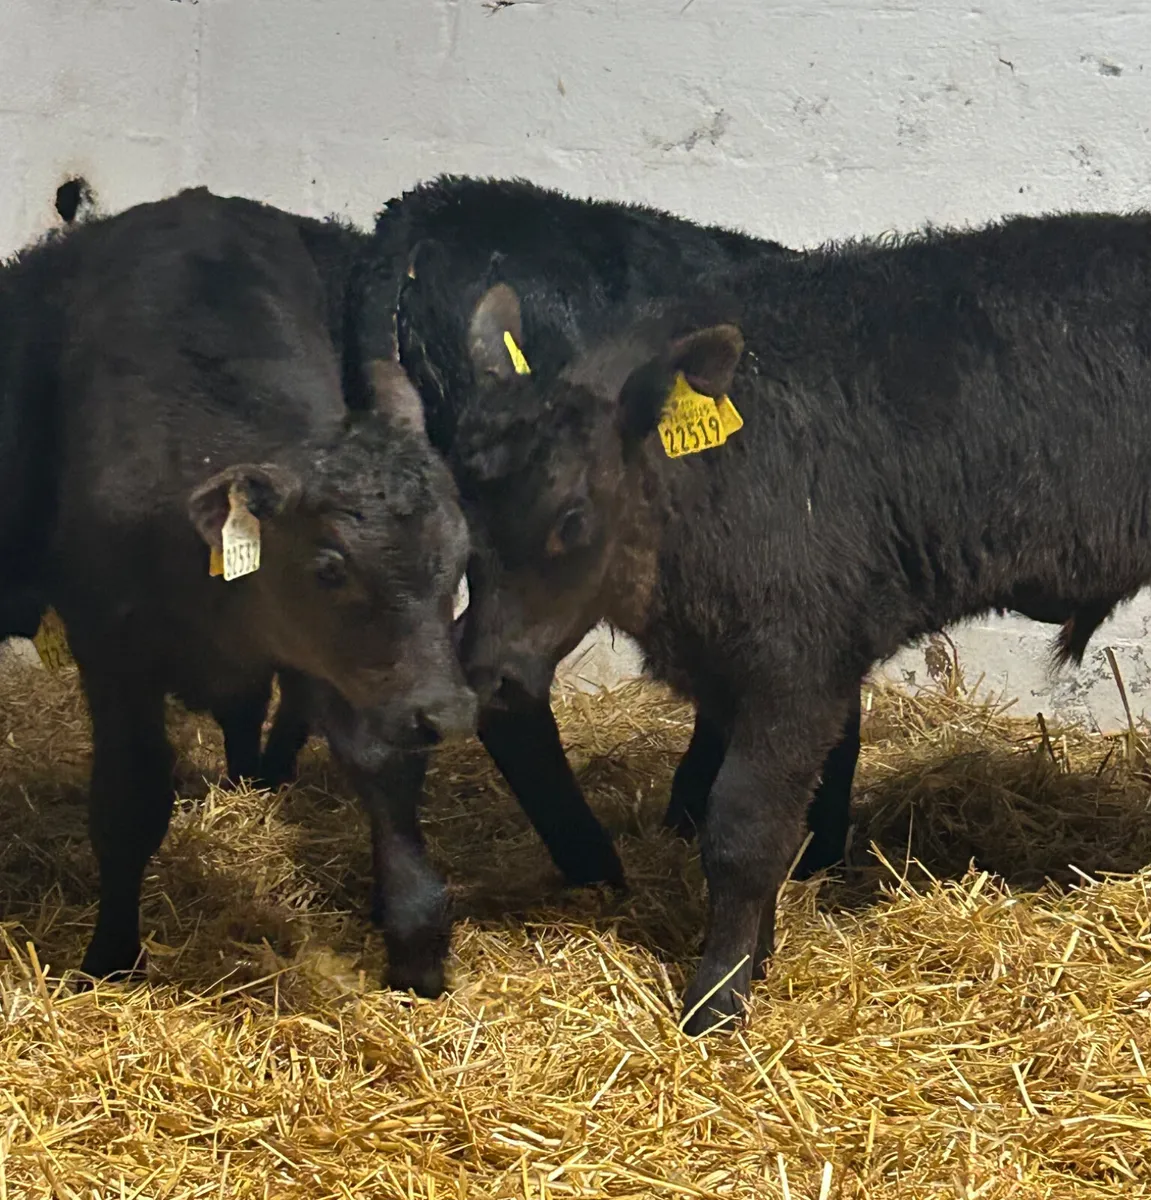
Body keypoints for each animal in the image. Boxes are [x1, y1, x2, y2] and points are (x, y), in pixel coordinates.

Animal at [23, 188, 475, 983]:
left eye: (458, 560)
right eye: (329, 567)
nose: (447, 713)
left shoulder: (349, 673)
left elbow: (382, 769)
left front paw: (416, 945)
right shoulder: (111, 656)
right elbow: (129, 799)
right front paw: (110, 955)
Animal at [445, 211, 1146, 1032]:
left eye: (572, 518)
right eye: (460, 507)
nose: (486, 674)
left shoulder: (798, 670)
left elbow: (742, 826)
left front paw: (718, 995)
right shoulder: (728, 670)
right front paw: (756, 953)